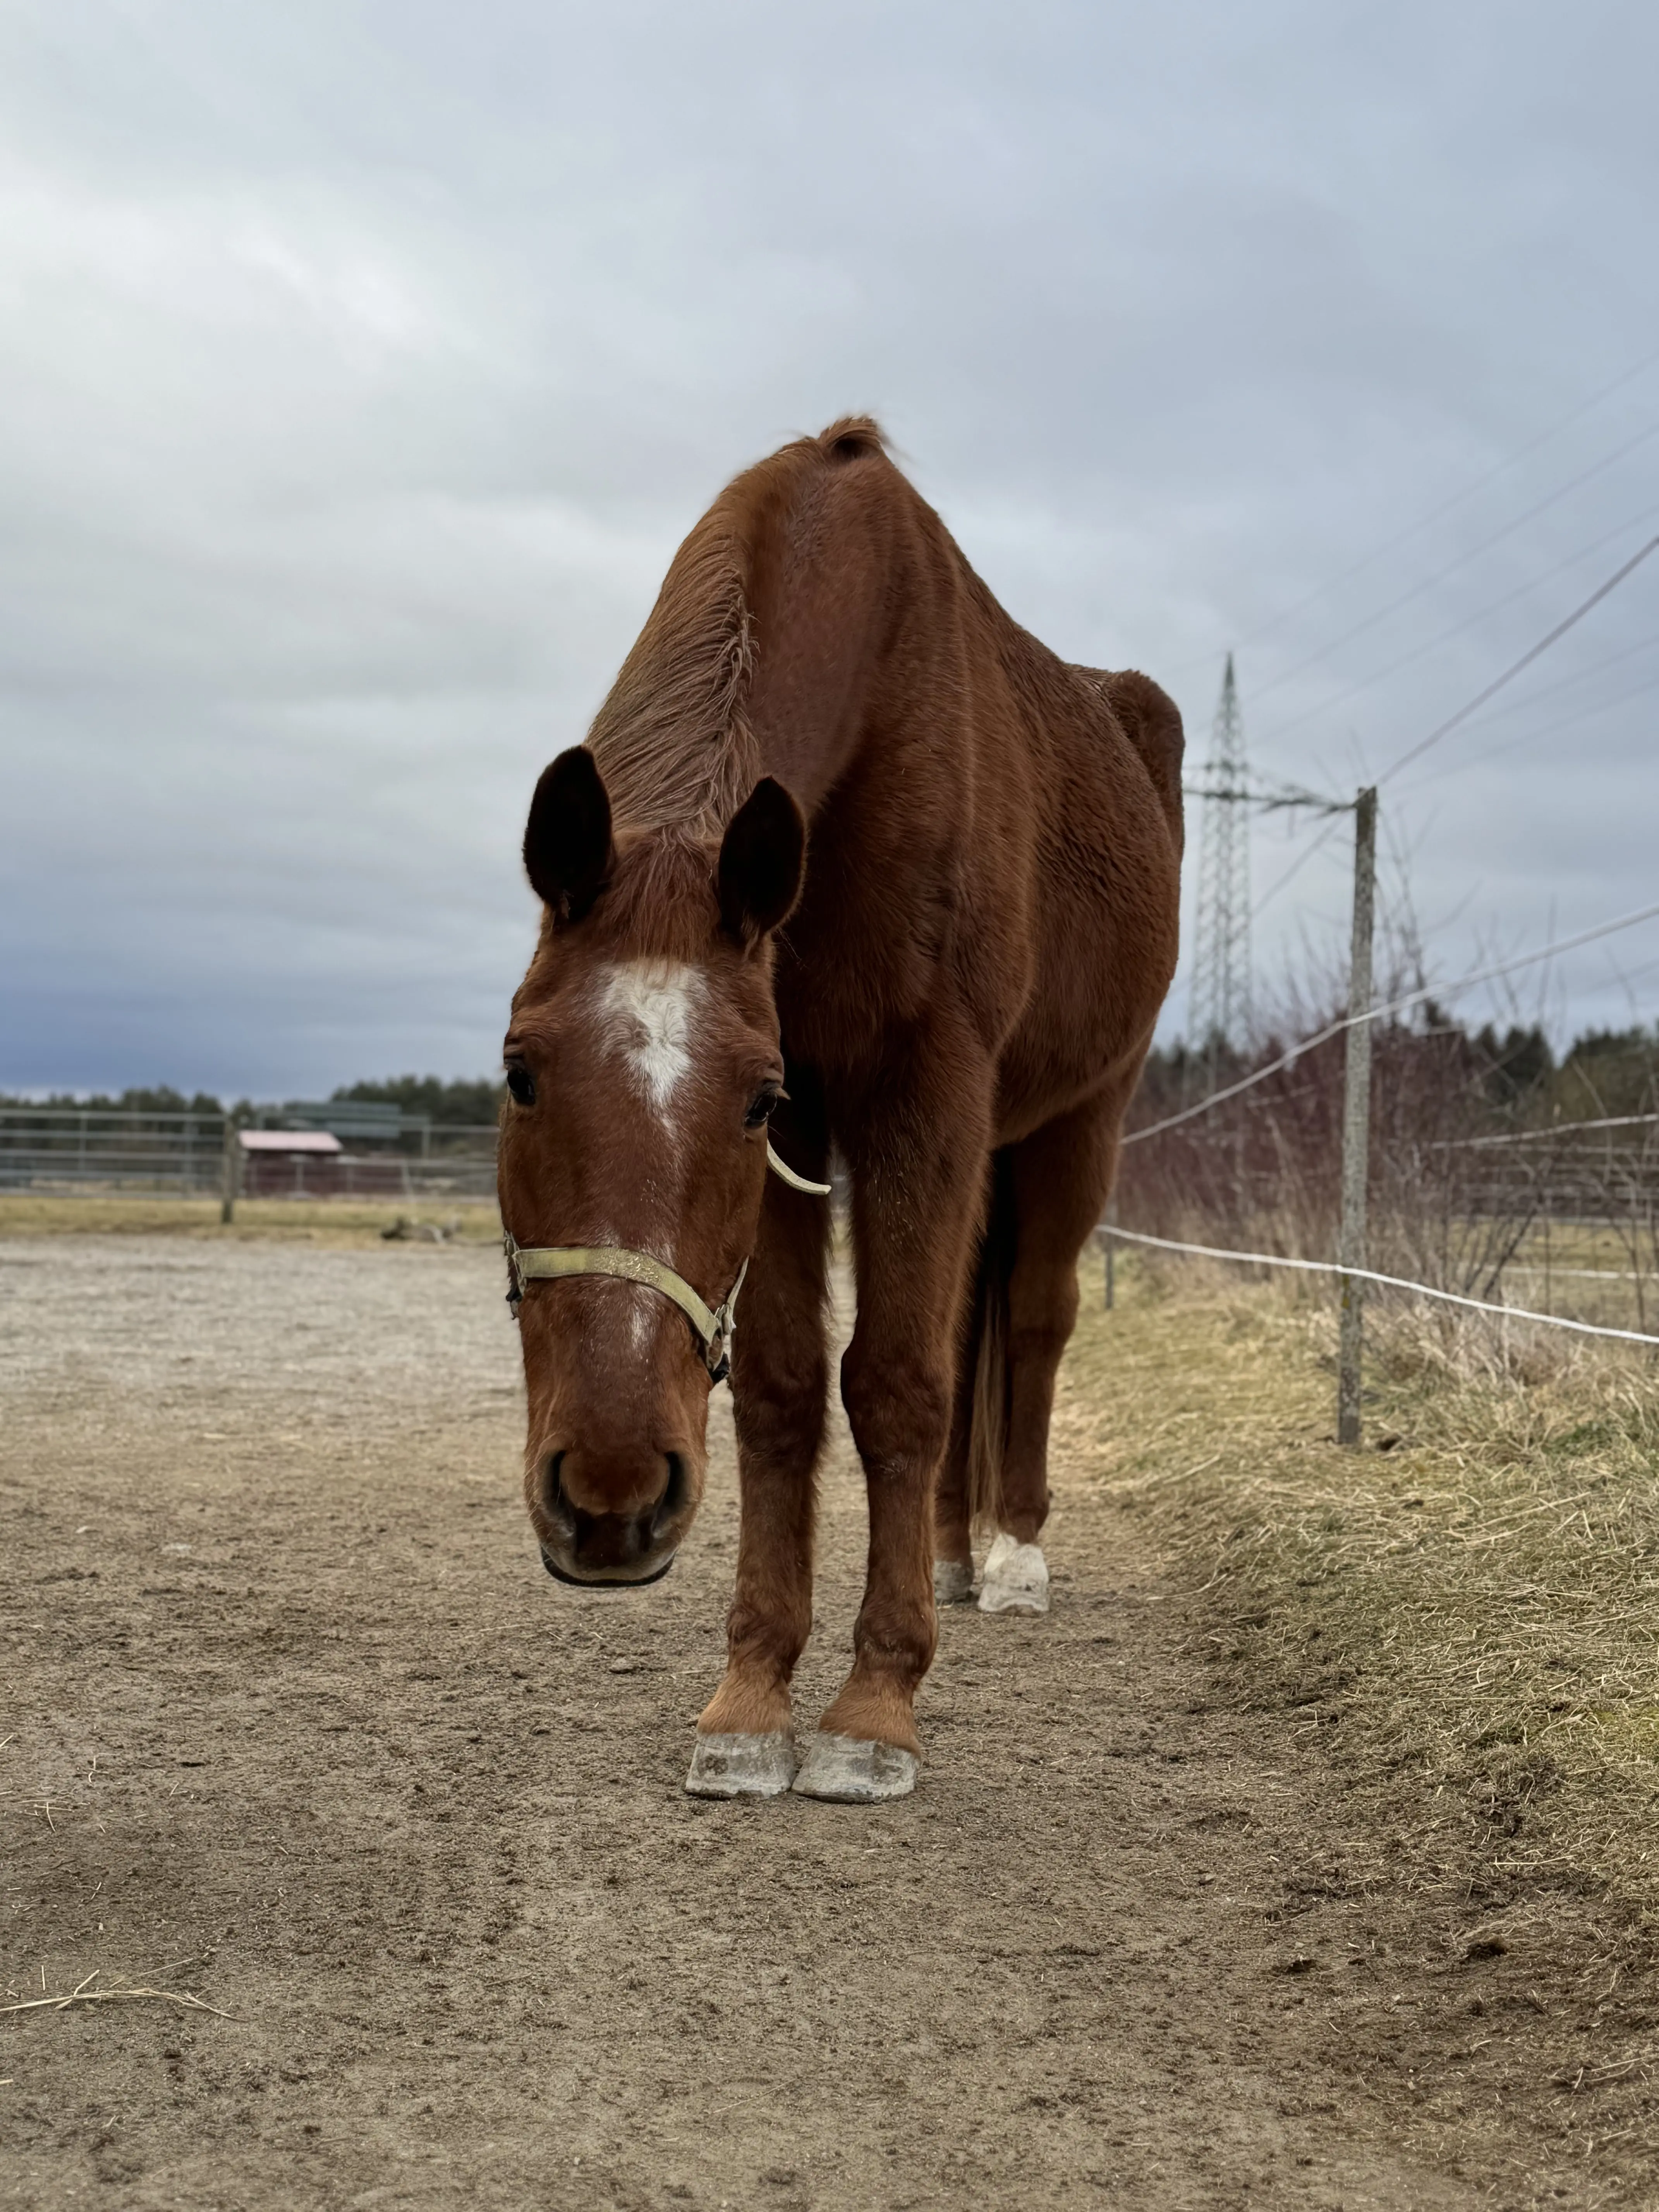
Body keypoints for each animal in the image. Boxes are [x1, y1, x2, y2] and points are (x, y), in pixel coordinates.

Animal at [493, 416, 1185, 1796]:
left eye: (748, 1102)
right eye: (520, 1070)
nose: (609, 1493)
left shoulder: (914, 1091)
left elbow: (899, 1380)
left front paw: (874, 1708)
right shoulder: (823, 1115)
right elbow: (783, 1389)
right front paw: (753, 1695)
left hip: (1079, 1118)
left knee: (1031, 1320)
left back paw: (1013, 1553)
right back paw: (959, 1551)